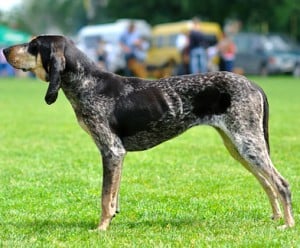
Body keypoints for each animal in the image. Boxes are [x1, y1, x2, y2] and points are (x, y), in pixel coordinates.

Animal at [3, 35, 294, 231]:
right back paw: (276, 217)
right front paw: (111, 220)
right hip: (238, 146)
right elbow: (113, 196)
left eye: (33, 45)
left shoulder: (111, 151)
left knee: (281, 183)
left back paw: (288, 225)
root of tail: (253, 83)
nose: (4, 49)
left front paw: (101, 229)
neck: (88, 83)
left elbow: (104, 197)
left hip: (247, 143)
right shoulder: (117, 155)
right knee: (267, 183)